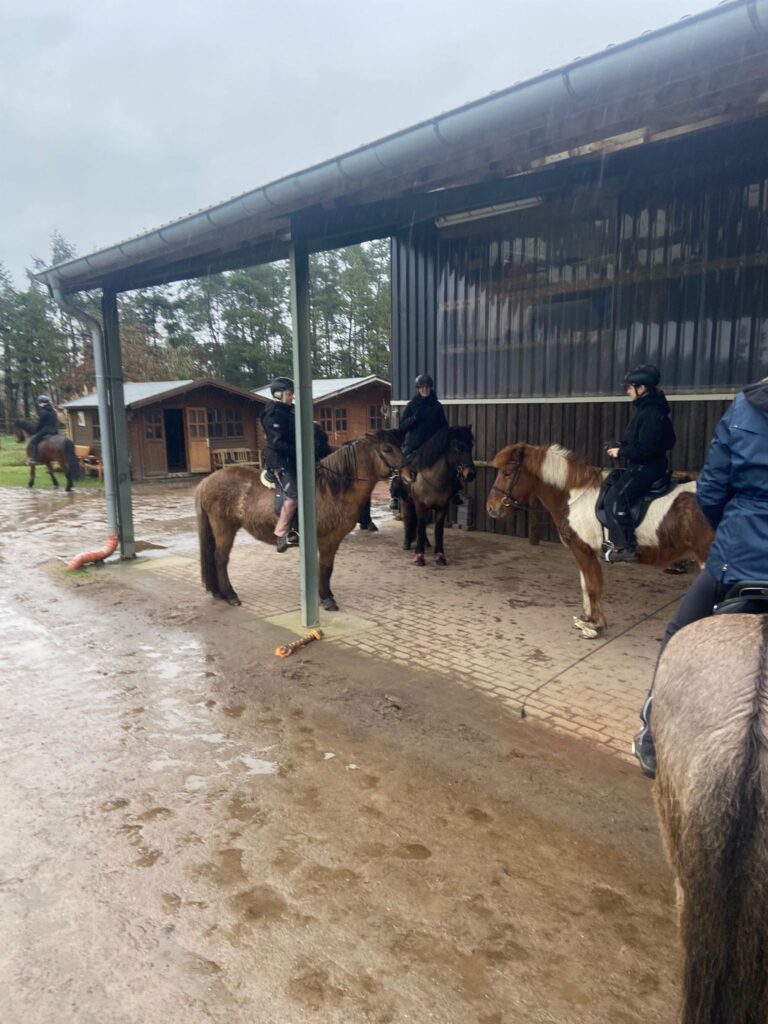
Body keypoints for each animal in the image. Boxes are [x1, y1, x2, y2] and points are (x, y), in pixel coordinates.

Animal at [196, 429, 410, 611]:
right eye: (387, 449)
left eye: (399, 446)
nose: (410, 474)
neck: (332, 489)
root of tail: (207, 481)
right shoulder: (328, 539)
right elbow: (325, 568)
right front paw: (327, 598)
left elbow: (325, 568)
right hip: (224, 529)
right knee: (220, 559)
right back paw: (230, 595)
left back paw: (220, 593)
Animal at [399, 426, 476, 566]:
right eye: (458, 446)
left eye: (471, 445)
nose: (470, 474)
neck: (434, 479)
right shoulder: (420, 505)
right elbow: (420, 526)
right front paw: (419, 556)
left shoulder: (442, 507)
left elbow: (438, 529)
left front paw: (440, 556)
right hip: (407, 502)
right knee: (409, 520)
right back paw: (407, 543)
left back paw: (426, 543)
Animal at [486, 442, 714, 638]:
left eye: (507, 473)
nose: (491, 508)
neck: (574, 497)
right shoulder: (582, 551)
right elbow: (585, 585)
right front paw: (586, 619)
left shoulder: (583, 549)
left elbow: (593, 587)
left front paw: (594, 626)